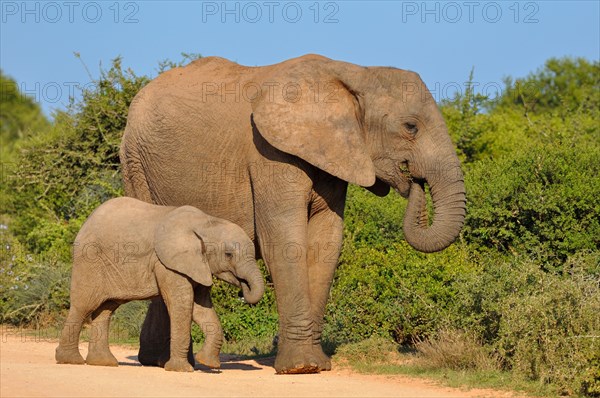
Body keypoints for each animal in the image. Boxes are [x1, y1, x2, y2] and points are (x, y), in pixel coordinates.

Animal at [55, 197, 264, 372]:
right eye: (228, 254)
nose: (243, 289)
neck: (207, 223)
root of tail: (86, 222)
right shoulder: (167, 263)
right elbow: (182, 303)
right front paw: (181, 370)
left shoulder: (199, 265)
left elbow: (200, 307)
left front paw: (208, 363)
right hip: (89, 261)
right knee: (83, 306)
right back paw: (70, 360)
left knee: (106, 309)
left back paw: (104, 363)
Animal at [119, 54, 466, 374]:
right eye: (411, 127)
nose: (413, 181)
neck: (352, 73)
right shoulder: (269, 152)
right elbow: (285, 242)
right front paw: (301, 367)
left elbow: (326, 244)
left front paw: (318, 365)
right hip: (136, 163)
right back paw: (163, 362)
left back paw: (159, 361)